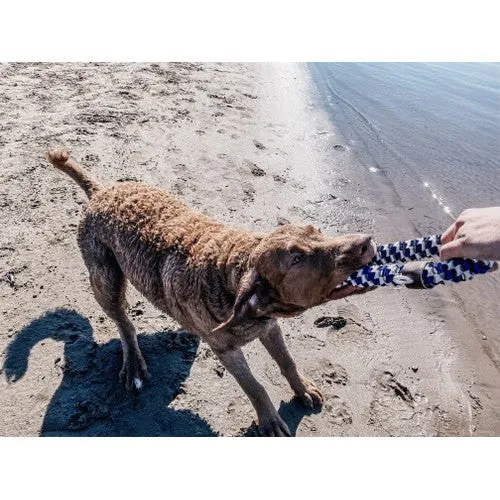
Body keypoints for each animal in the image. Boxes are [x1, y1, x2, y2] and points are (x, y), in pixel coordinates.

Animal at [47, 147, 376, 434]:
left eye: (316, 230)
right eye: (296, 258)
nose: (366, 242)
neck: (230, 272)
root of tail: (100, 191)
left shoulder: (270, 327)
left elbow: (287, 361)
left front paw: (302, 388)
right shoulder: (226, 350)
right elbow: (254, 386)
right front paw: (269, 420)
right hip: (105, 280)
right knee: (124, 323)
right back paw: (134, 365)